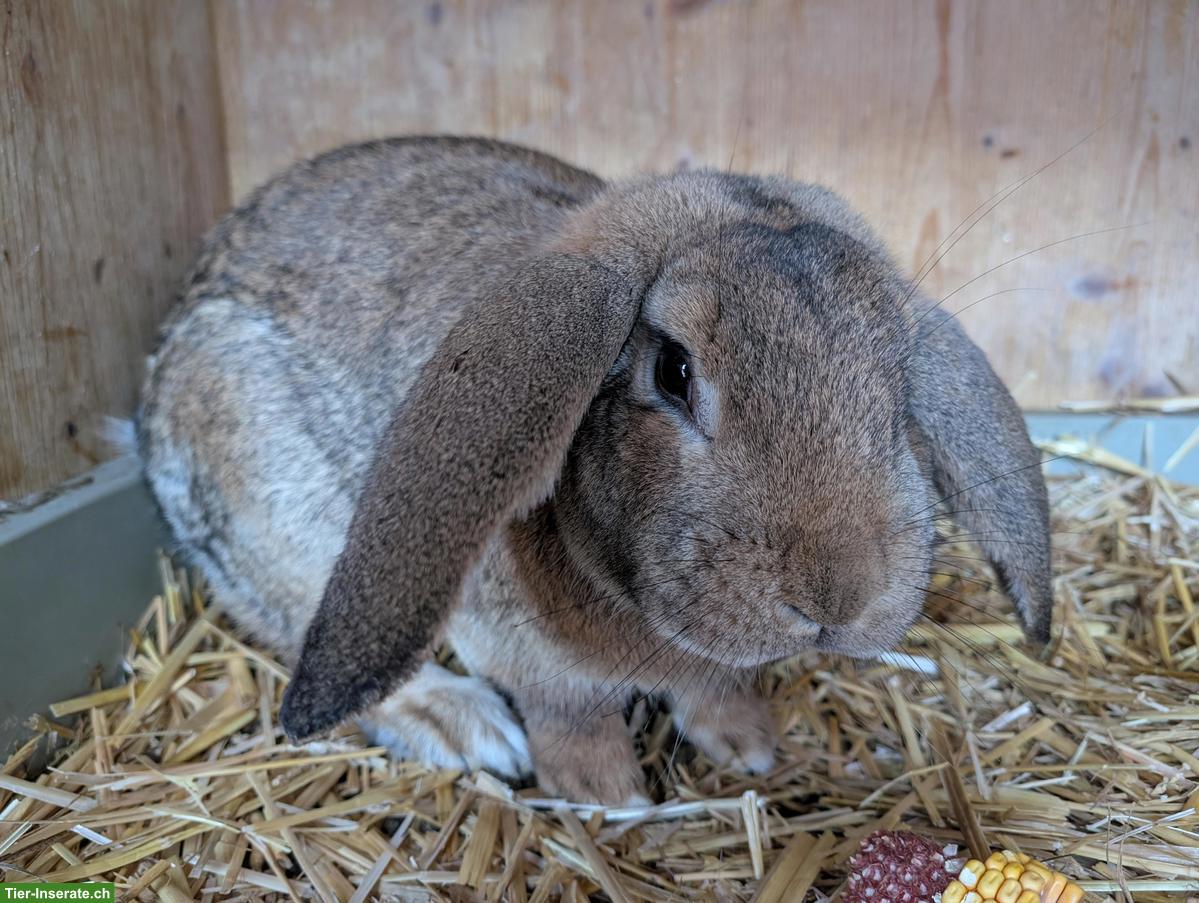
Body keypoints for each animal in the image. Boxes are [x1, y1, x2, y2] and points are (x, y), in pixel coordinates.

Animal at [138, 136, 1051, 804]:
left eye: (898, 380)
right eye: (672, 370)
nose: (838, 597)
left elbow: (714, 688)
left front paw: (747, 745)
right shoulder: (522, 651)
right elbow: (568, 714)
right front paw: (605, 796)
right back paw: (465, 726)